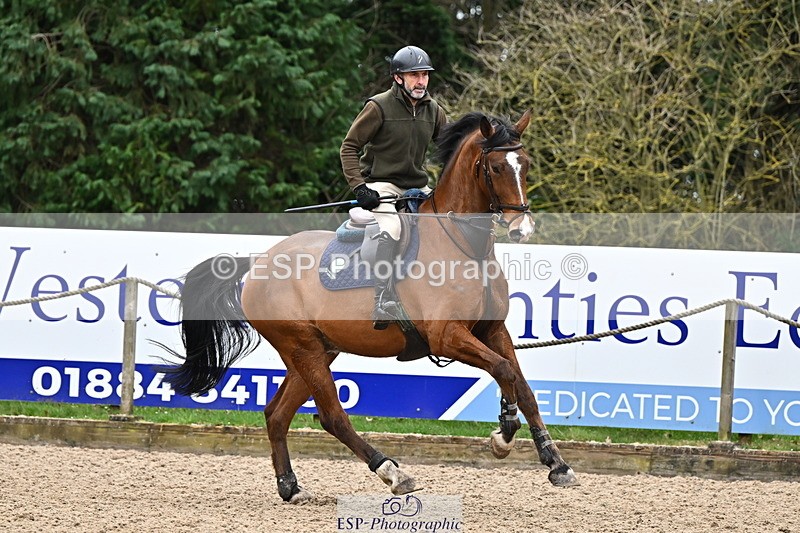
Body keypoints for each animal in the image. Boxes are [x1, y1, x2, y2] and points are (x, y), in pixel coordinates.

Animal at [161, 110, 579, 503]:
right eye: (495, 168)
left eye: (525, 163)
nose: (522, 229)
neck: (464, 246)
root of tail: (258, 261)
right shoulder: (447, 337)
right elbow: (503, 371)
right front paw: (504, 433)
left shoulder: (492, 330)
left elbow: (523, 387)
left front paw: (556, 463)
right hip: (302, 347)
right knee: (332, 417)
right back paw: (393, 473)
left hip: (317, 350)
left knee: (277, 414)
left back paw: (290, 487)